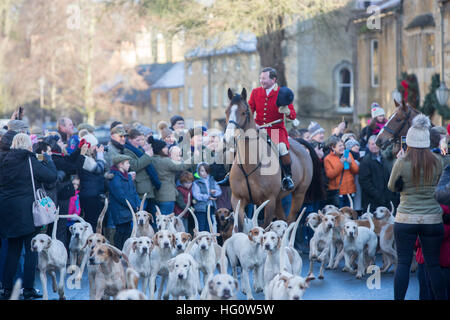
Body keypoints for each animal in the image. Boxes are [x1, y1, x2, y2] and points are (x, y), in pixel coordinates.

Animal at [223, 87, 322, 228]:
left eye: (243, 112)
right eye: (226, 111)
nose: (228, 138)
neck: (250, 165)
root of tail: (298, 143)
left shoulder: (269, 201)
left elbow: (265, 227)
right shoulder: (237, 200)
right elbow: (240, 228)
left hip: (299, 195)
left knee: (290, 221)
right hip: (279, 199)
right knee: (283, 219)